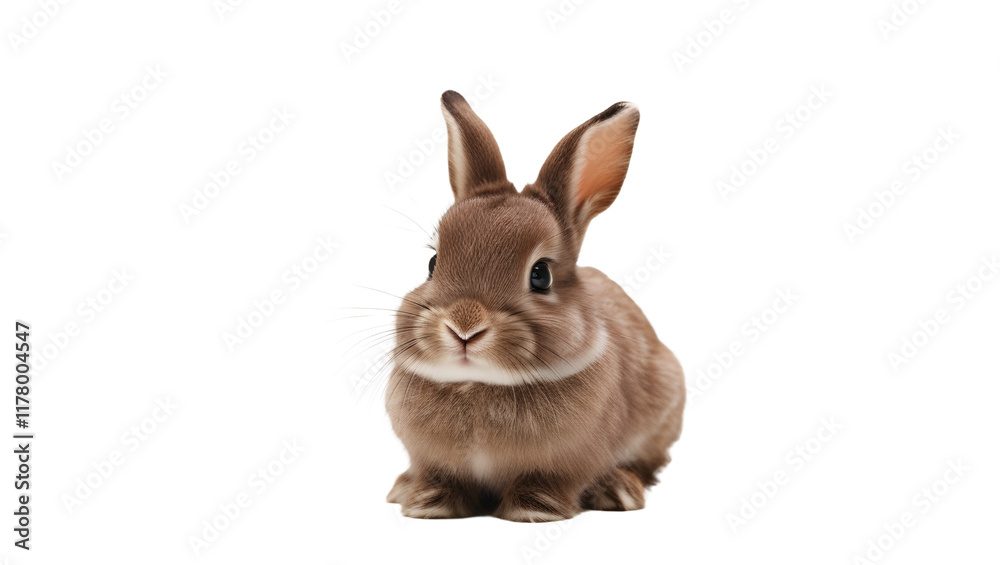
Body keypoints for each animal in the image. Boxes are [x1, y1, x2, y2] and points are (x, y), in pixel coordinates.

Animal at [385, 90, 685, 522]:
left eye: (540, 274)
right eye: (432, 263)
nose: (464, 325)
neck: (480, 384)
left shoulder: (567, 463)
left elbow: (548, 481)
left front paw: (534, 508)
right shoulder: (432, 459)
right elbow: (441, 476)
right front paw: (429, 502)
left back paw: (618, 489)